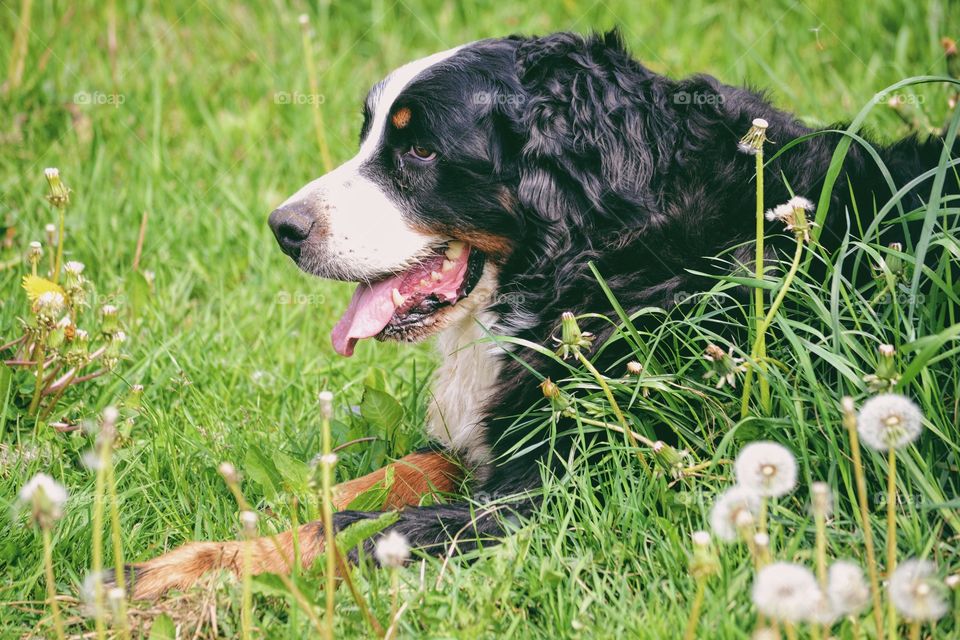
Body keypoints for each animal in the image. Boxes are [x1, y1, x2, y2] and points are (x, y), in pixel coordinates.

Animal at [118, 31, 952, 600]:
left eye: (420, 150)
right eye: (371, 133)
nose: (282, 227)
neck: (607, 248)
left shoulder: (571, 489)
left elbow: (351, 533)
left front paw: (191, 576)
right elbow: (388, 475)